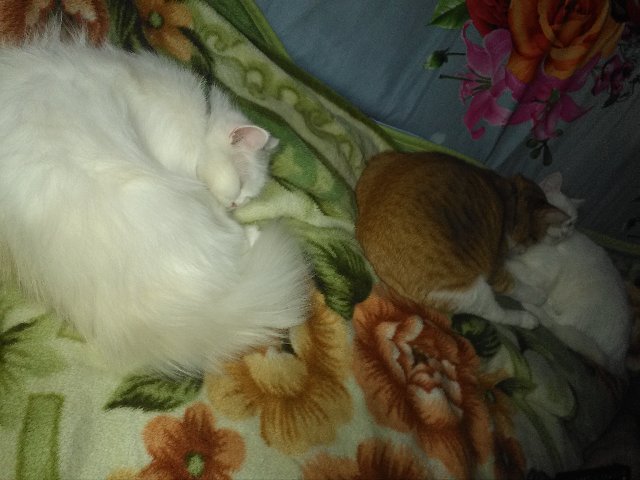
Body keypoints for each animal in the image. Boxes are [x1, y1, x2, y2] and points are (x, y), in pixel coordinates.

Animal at [0, 24, 309, 375]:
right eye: (242, 183)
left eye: (247, 197)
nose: (235, 205)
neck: (201, 118)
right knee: (236, 240)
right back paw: (252, 232)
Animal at [354, 151, 568, 328]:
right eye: (534, 238)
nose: (521, 250)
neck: (509, 199)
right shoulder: (496, 269)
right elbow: (518, 287)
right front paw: (540, 297)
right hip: (469, 290)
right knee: (495, 314)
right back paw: (528, 320)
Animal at [505, 173, 632, 376]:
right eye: (562, 219)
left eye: (571, 223)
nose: (565, 233)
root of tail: (618, 361)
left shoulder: (543, 272)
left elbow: (514, 266)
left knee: (554, 321)